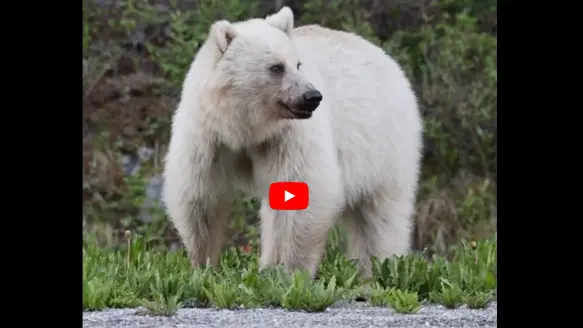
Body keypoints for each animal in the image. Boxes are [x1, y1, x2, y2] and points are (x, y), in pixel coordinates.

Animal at [162, 6, 422, 278]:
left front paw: (291, 272)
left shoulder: (288, 136)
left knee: (380, 214)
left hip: (383, 144)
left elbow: (303, 191)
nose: (312, 97)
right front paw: (202, 265)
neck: (244, 127)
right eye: (276, 67)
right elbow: (201, 195)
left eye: (298, 64)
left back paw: (377, 268)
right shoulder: (207, 136)